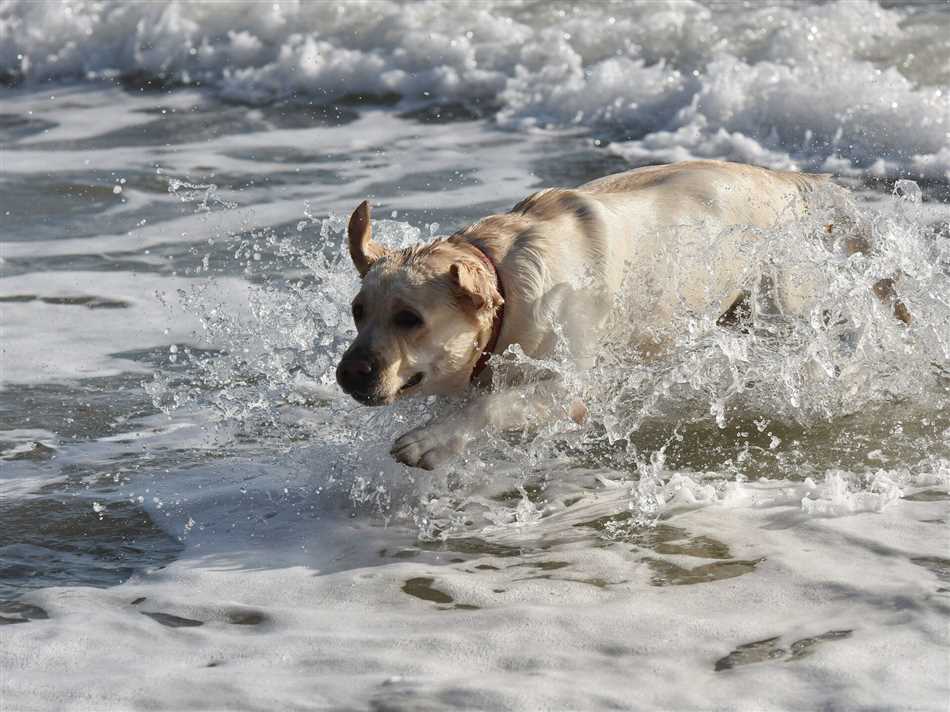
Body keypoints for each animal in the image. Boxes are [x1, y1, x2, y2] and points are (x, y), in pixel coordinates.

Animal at [336, 163, 908, 472]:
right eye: (358, 312)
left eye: (410, 318)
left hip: (783, 305)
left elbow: (491, 406)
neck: (506, 283)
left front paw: (430, 441)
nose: (348, 374)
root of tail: (789, 180)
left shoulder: (569, 390)